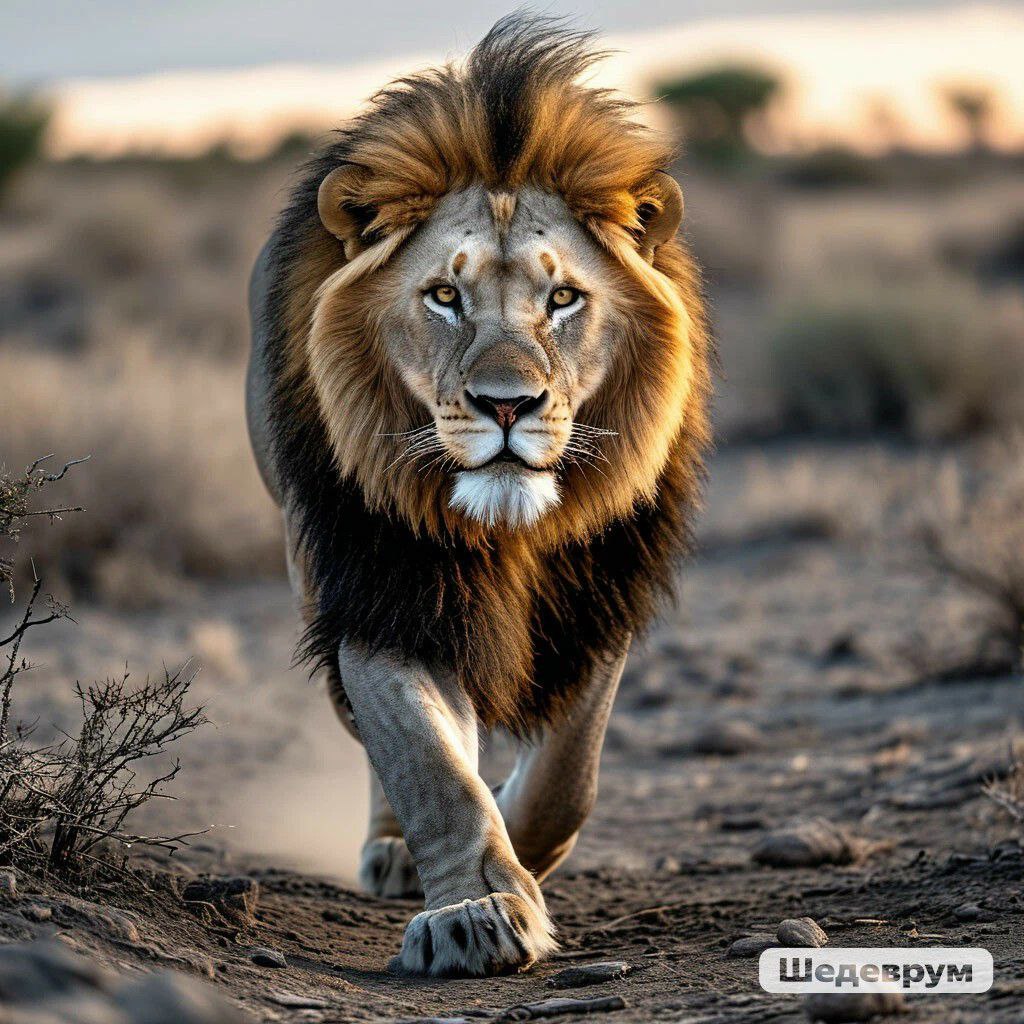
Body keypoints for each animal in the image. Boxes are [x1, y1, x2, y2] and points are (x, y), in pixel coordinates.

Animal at [246, 15, 712, 977]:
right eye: (444, 297)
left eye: (564, 297)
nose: (507, 404)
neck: (513, 530)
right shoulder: (381, 587)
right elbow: (430, 766)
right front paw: (479, 909)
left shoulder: (601, 587)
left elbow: (571, 772)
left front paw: (522, 851)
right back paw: (394, 850)